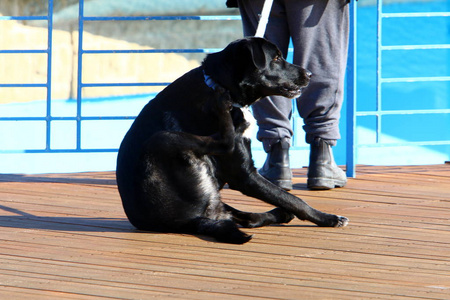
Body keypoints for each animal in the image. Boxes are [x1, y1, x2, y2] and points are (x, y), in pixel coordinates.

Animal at [116, 37, 348, 244]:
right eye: (276, 58)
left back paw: (278, 214)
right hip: (162, 139)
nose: (309, 74)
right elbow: (294, 199)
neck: (218, 83)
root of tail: (190, 222)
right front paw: (328, 218)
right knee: (225, 144)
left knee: (248, 219)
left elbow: (285, 200)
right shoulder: (244, 175)